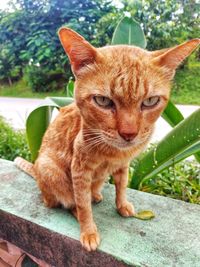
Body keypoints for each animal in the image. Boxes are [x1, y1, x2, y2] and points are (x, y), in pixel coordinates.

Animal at [14, 28, 200, 252]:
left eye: (150, 101)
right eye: (103, 101)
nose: (129, 134)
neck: (113, 153)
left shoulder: (123, 165)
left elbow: (121, 187)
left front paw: (122, 205)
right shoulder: (80, 170)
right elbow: (83, 205)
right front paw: (88, 231)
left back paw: (96, 194)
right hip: (50, 169)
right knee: (64, 201)